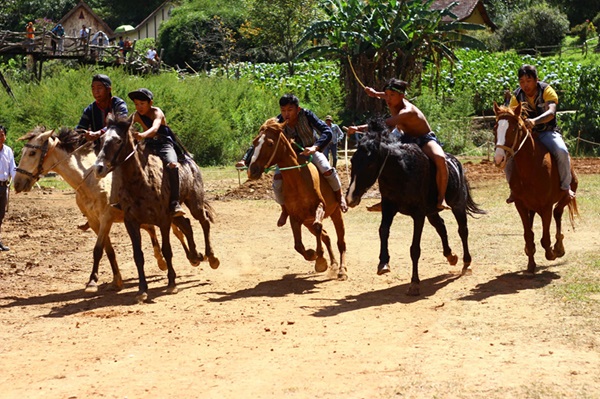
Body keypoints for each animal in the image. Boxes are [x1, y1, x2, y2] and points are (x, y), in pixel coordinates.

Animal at [13, 127, 199, 294]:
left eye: (32, 153)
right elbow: (108, 251)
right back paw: (171, 260)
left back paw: (193, 257)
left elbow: (97, 250)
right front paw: (116, 281)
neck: (90, 181)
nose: (17, 183)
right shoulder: (95, 221)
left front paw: (92, 282)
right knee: (166, 229)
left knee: (179, 229)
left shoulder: (106, 219)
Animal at [91, 113, 218, 304]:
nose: (98, 168)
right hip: (176, 214)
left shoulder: (163, 220)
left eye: (118, 140)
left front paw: (172, 283)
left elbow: (167, 250)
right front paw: (142, 290)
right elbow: (138, 256)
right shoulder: (131, 223)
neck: (141, 181)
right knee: (186, 224)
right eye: (102, 139)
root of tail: (190, 161)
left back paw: (211, 257)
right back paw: (195, 257)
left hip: (194, 202)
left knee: (204, 221)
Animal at [246, 119, 346, 280]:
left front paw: (320, 259)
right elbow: (298, 245)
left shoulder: (320, 207)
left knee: (340, 241)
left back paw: (342, 269)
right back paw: (334, 264)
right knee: (326, 236)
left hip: (335, 212)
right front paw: (313, 255)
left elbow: (318, 228)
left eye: (270, 143)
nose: (252, 170)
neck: (297, 179)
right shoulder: (295, 217)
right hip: (307, 222)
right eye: (255, 142)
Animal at [344, 120, 486, 296]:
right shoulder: (389, 207)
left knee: (463, 231)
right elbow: (383, 230)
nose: (350, 198)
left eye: (370, 164)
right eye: (352, 161)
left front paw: (414, 283)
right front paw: (383, 263)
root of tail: (456, 163)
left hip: (457, 205)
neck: (402, 171)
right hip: (432, 212)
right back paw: (451, 256)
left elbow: (415, 249)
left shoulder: (418, 214)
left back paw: (467, 264)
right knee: (441, 226)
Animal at [494, 103, 580, 276]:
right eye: (495, 129)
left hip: (566, 195)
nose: (499, 158)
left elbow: (545, 239)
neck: (531, 167)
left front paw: (552, 253)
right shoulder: (520, 205)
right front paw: (531, 264)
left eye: (514, 129)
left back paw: (559, 247)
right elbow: (528, 235)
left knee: (558, 212)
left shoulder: (546, 207)